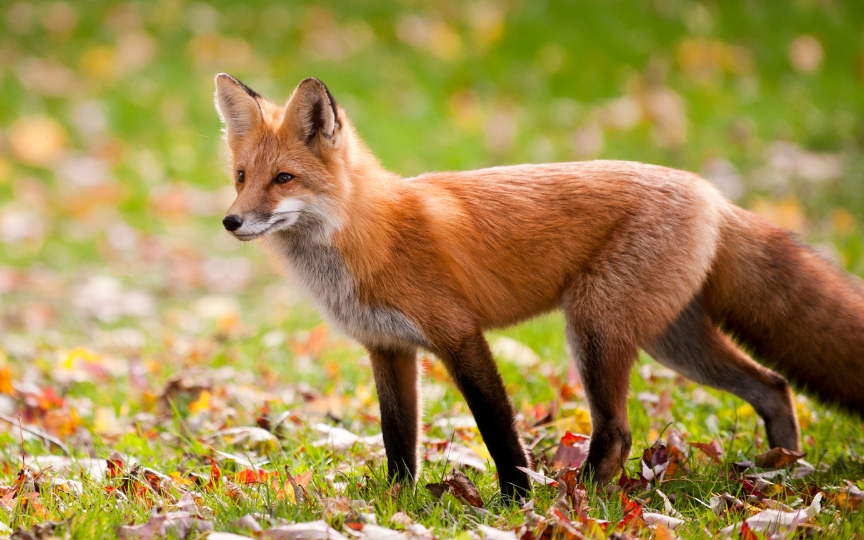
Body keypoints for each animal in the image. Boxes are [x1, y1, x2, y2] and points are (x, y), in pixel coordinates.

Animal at [214, 73, 864, 499]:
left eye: (284, 178)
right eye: (242, 177)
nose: (231, 221)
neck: (367, 234)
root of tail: (711, 192)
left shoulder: (458, 334)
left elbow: (497, 427)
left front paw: (515, 501)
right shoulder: (388, 348)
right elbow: (398, 438)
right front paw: (398, 501)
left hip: (596, 328)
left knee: (618, 431)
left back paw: (579, 500)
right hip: (673, 343)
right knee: (773, 386)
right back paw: (782, 467)